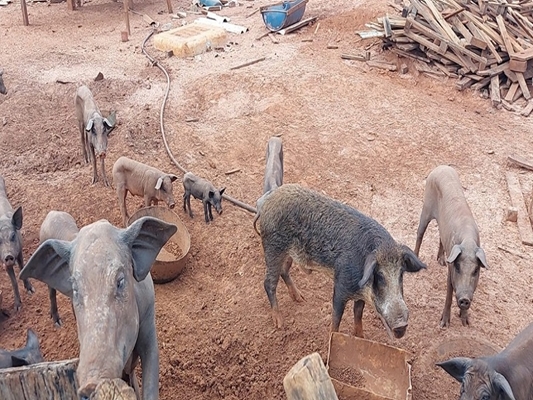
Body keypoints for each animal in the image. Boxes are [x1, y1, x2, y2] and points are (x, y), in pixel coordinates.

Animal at [19, 216, 177, 400]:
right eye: (75, 289)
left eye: (120, 281)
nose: (91, 384)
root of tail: (52, 213)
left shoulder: (149, 317)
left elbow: (150, 367)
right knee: (51, 292)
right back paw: (58, 323)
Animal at [256, 184, 426, 338]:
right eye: (379, 275)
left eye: (401, 274)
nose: (401, 325)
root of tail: (267, 199)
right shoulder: (340, 286)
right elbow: (336, 318)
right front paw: (333, 337)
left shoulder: (361, 295)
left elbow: (358, 313)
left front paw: (361, 337)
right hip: (273, 247)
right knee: (268, 283)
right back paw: (280, 323)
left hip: (287, 253)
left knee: (284, 271)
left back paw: (300, 298)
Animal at [414, 166, 488, 328]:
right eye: (458, 267)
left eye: (475, 270)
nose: (464, 299)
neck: (468, 243)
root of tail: (440, 167)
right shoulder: (451, 269)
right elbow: (449, 292)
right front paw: (443, 325)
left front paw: (466, 323)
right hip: (425, 208)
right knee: (419, 233)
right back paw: (416, 258)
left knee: (440, 237)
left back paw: (441, 261)